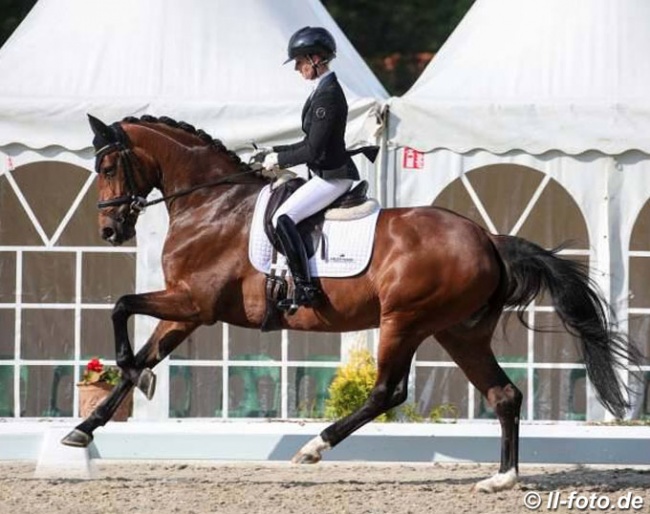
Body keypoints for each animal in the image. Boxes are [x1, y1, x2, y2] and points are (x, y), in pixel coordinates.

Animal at [62, 114, 636, 490]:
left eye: (108, 167)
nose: (110, 231)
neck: (212, 203)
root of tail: (488, 238)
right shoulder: (187, 311)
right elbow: (145, 350)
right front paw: (83, 429)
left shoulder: (193, 303)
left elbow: (121, 307)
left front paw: (129, 376)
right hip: (460, 331)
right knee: (504, 394)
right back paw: (502, 479)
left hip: (404, 320)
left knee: (387, 392)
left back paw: (313, 448)